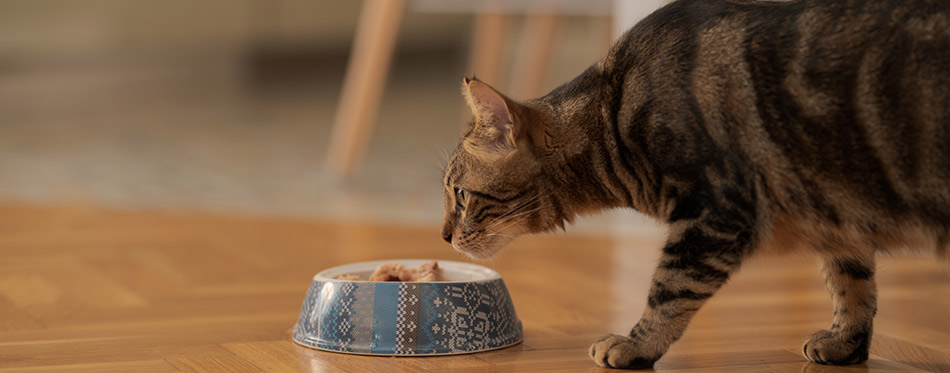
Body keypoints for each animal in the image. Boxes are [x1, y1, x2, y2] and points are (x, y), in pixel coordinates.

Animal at [442, 0, 950, 368]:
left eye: (461, 195)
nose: (444, 236)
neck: (611, 120)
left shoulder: (713, 215)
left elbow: (669, 290)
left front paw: (636, 345)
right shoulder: (833, 212)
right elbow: (851, 283)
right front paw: (848, 342)